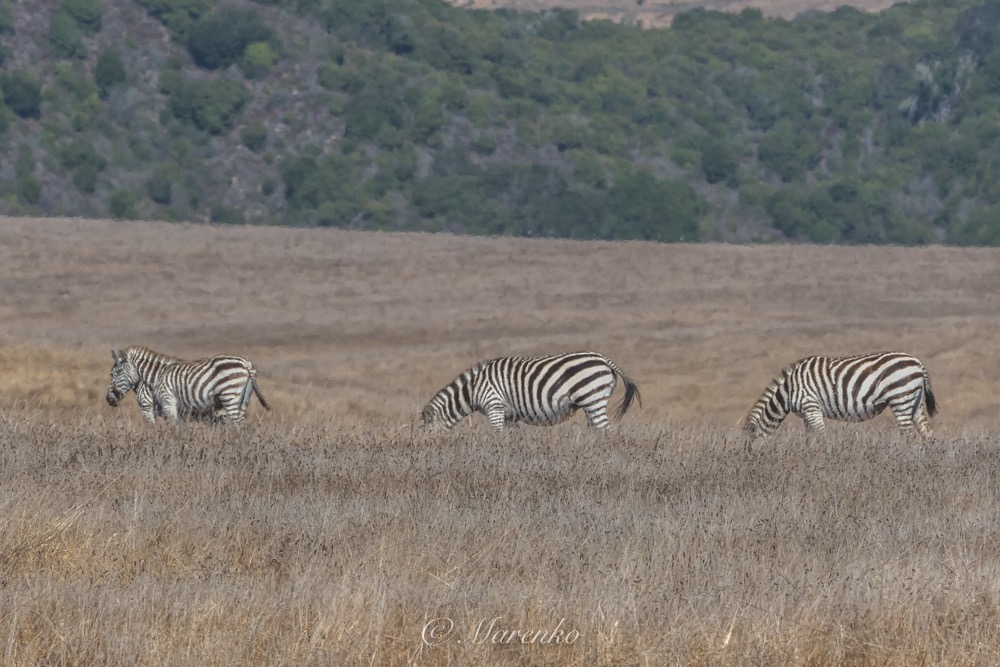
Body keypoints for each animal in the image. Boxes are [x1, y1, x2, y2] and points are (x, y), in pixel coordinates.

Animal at [106, 348, 270, 426]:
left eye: (116, 373)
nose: (109, 399)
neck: (155, 377)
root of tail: (246, 363)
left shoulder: (158, 405)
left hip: (230, 396)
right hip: (242, 400)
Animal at [420, 354, 640, 434]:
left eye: (428, 433)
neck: (474, 389)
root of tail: (604, 359)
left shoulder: (494, 406)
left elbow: (497, 435)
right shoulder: (510, 415)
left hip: (593, 398)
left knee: (606, 431)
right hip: (591, 404)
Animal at [744, 352, 936, 440]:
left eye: (749, 449)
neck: (789, 389)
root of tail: (918, 362)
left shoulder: (811, 406)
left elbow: (821, 436)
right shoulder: (807, 414)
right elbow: (810, 437)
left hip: (900, 397)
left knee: (908, 434)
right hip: (914, 401)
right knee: (926, 432)